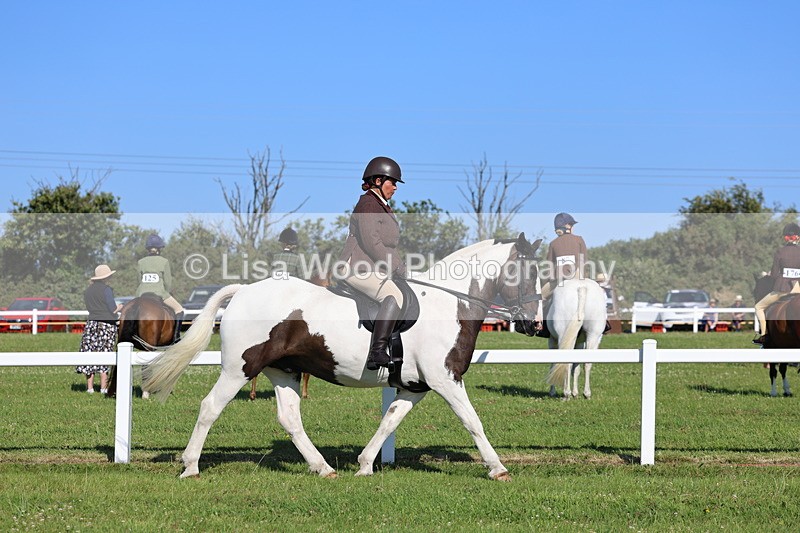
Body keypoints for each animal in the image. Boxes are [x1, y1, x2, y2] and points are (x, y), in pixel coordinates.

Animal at [142, 233, 542, 480]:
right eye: (529, 272)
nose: (534, 323)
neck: (449, 303)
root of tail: (242, 290)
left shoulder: (415, 386)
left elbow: (389, 421)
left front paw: (364, 465)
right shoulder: (445, 380)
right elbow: (473, 421)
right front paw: (498, 468)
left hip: (283, 371)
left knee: (290, 418)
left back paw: (322, 468)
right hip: (238, 368)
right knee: (210, 407)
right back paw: (190, 466)